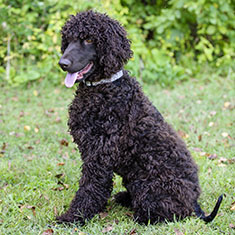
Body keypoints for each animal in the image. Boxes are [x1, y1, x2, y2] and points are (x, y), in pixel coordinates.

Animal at [57, 10, 222, 224]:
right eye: (68, 40)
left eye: (89, 39)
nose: (62, 64)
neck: (104, 88)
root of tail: (195, 203)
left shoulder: (99, 156)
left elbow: (90, 188)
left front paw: (73, 217)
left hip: (149, 186)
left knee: (170, 211)